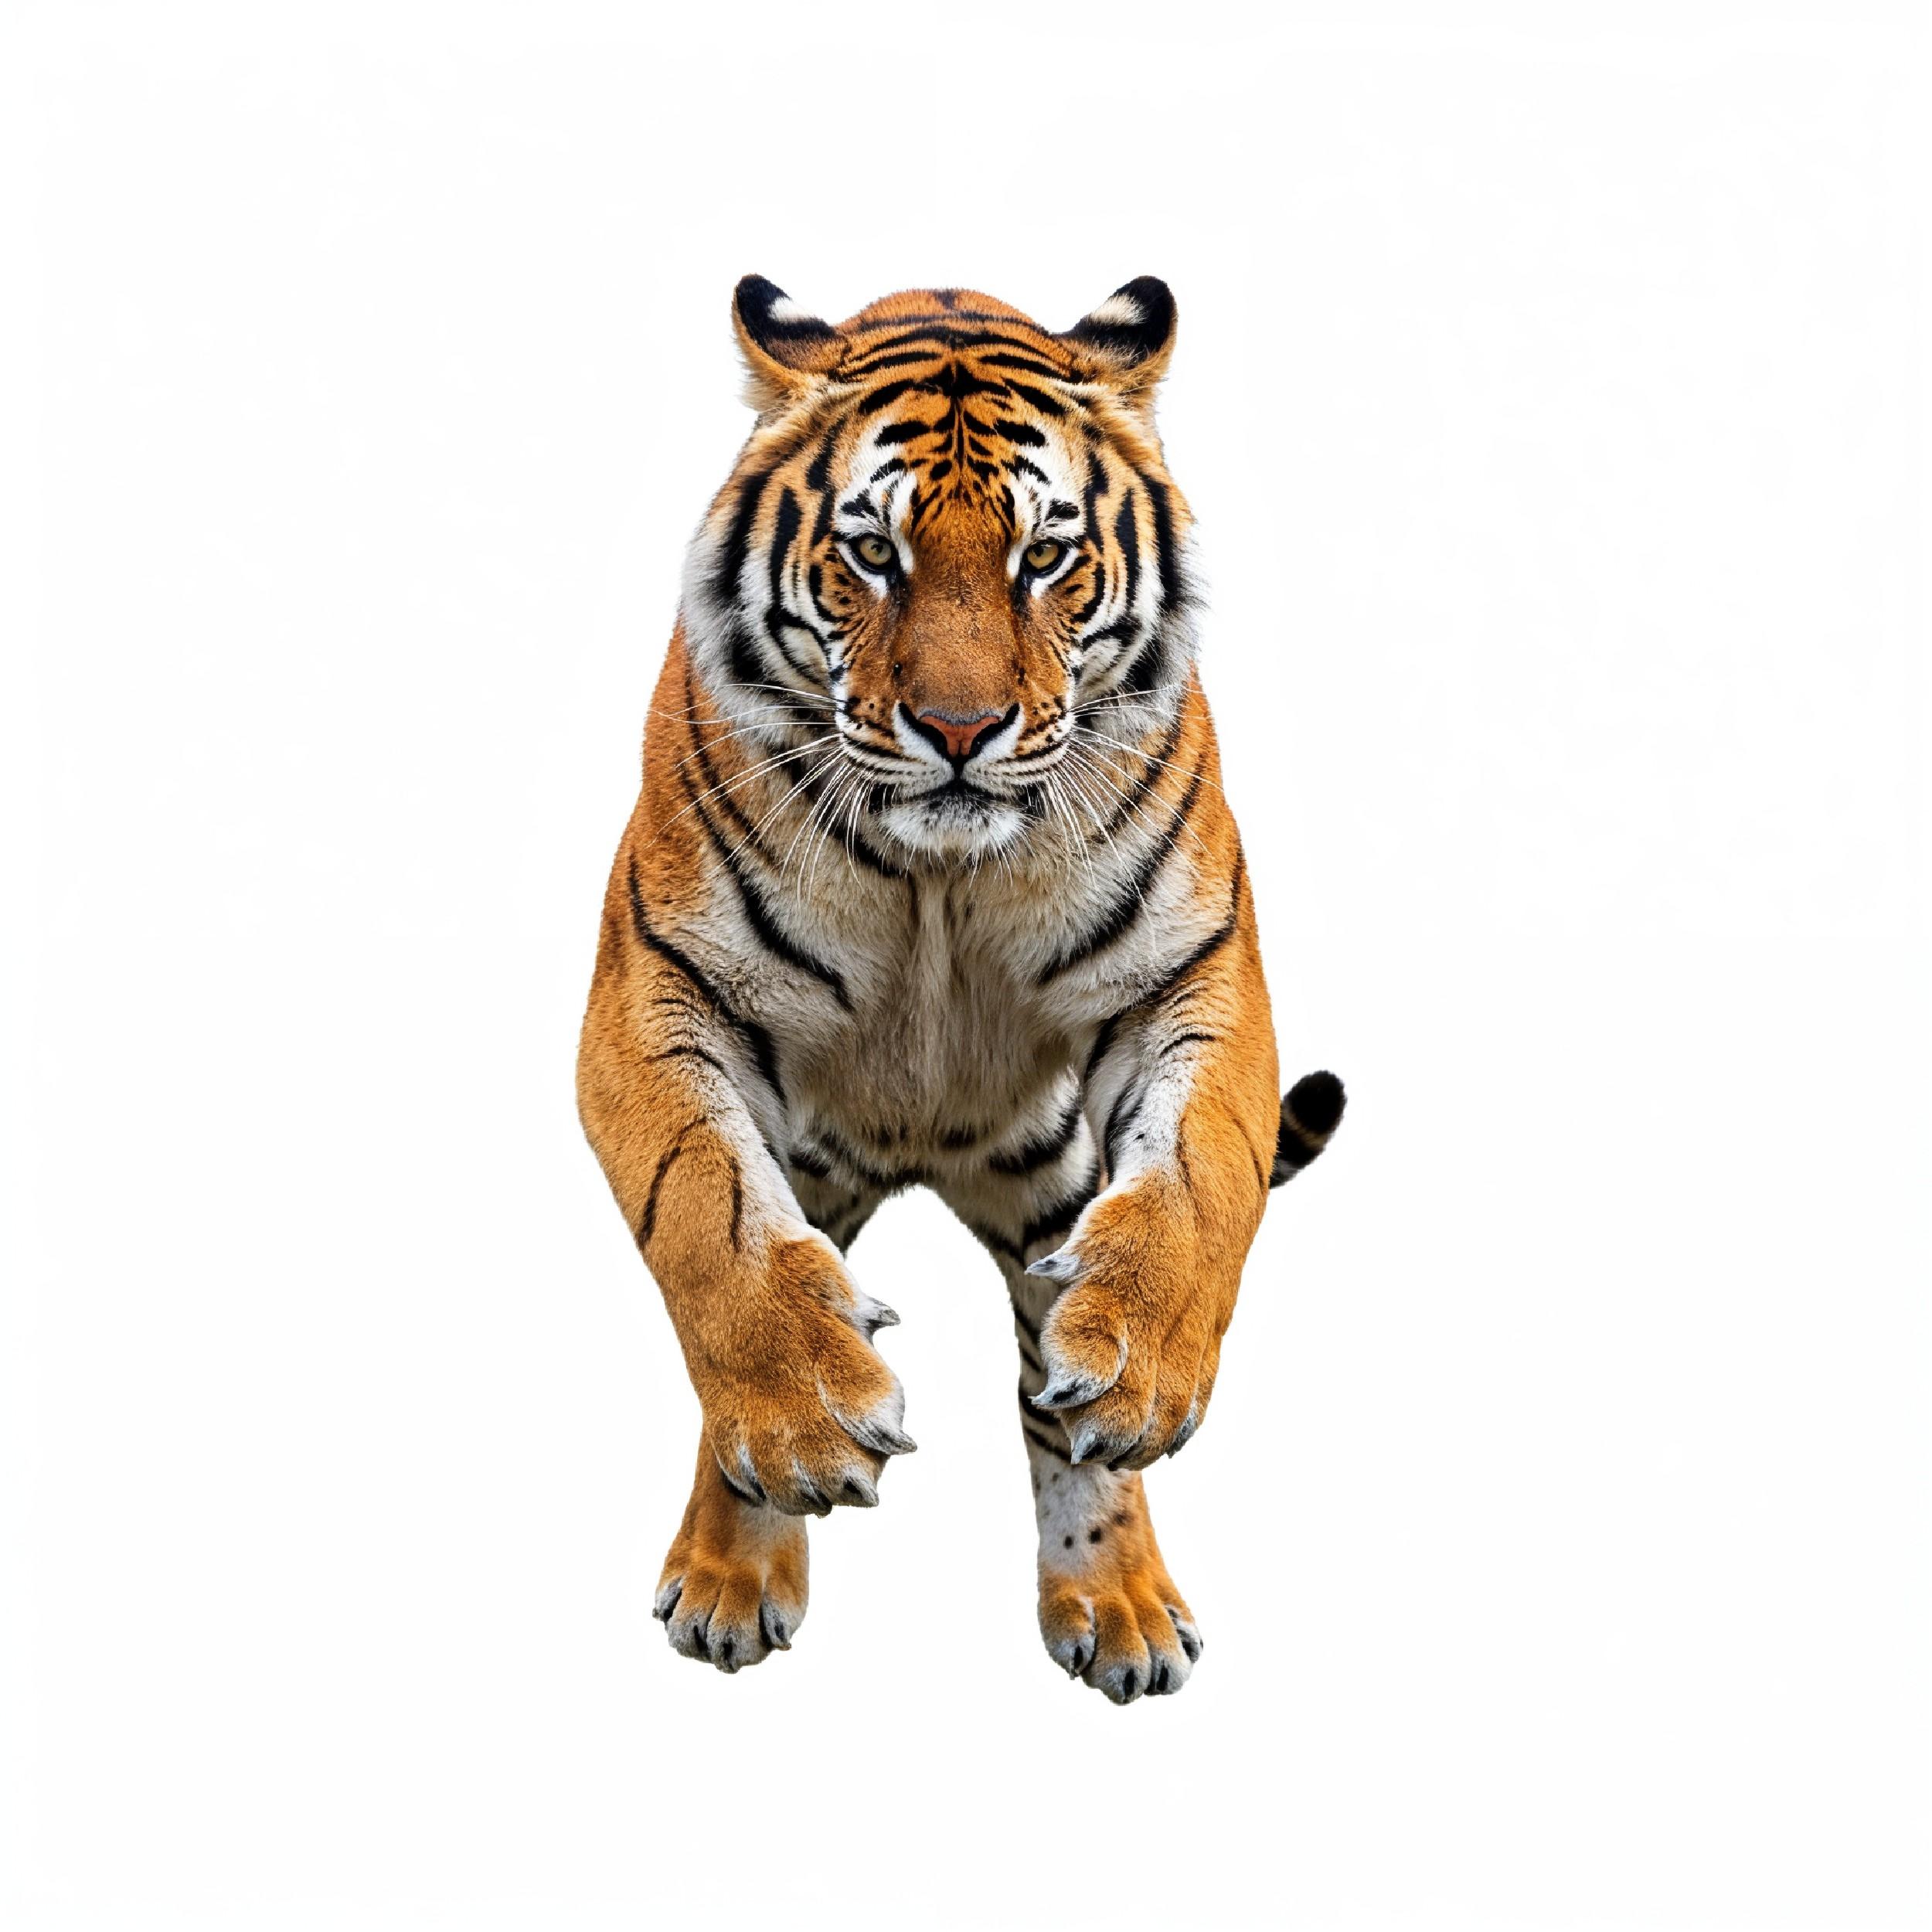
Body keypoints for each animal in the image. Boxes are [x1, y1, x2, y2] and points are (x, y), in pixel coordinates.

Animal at [576, 275, 1345, 1702]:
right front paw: (808, 1416)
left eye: (1042, 557)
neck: (940, 880)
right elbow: (704, 1207)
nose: (958, 729)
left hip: (1045, 1185)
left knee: (1058, 1392)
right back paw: (730, 1575)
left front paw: (1142, 1368)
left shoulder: (1199, 969)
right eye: (873, 553)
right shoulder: (653, 987)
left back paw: (1121, 1600)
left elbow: (1206, 1176)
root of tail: (917, 1153)